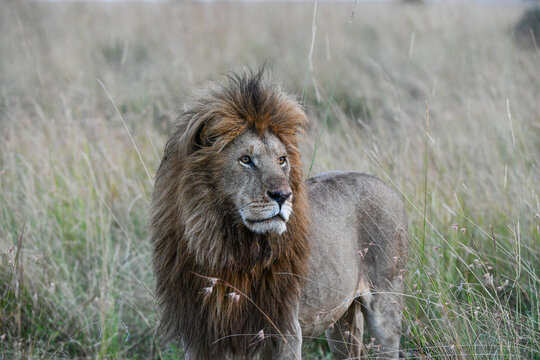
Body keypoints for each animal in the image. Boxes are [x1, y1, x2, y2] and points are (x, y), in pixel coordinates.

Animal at [150, 69, 408, 358]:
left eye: (282, 160)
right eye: (246, 160)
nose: (283, 195)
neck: (225, 246)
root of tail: (387, 186)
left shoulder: (284, 331)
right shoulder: (200, 338)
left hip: (386, 305)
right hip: (341, 322)